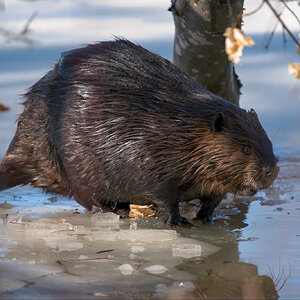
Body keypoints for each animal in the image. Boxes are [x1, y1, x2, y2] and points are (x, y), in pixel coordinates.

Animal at [0, 39, 278, 225]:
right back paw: (117, 211)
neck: (181, 126)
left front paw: (206, 217)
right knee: (86, 196)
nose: (271, 172)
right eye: (245, 148)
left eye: (269, 143)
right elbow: (162, 194)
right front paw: (178, 221)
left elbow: (214, 198)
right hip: (72, 162)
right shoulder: (147, 153)